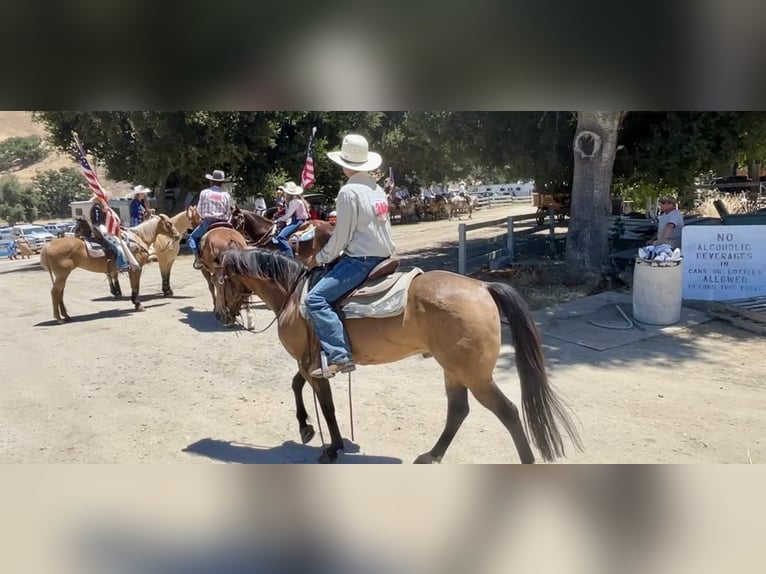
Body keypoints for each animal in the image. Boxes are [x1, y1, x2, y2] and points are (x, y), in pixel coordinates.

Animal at [40, 215, 182, 324]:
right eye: (169, 223)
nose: (178, 236)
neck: (138, 240)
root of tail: (47, 246)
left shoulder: (132, 270)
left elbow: (133, 286)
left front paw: (134, 302)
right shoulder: (136, 269)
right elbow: (135, 286)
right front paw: (138, 305)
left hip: (62, 275)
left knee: (60, 293)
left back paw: (66, 316)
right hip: (61, 275)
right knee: (55, 292)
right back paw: (59, 318)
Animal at [210, 250, 584, 466]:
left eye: (220, 280)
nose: (220, 316)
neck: (293, 294)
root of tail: (482, 287)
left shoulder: (312, 364)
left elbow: (326, 406)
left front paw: (331, 447)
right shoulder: (312, 362)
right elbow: (296, 385)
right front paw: (306, 428)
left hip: (475, 375)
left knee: (506, 412)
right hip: (453, 369)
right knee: (458, 411)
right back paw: (432, 455)